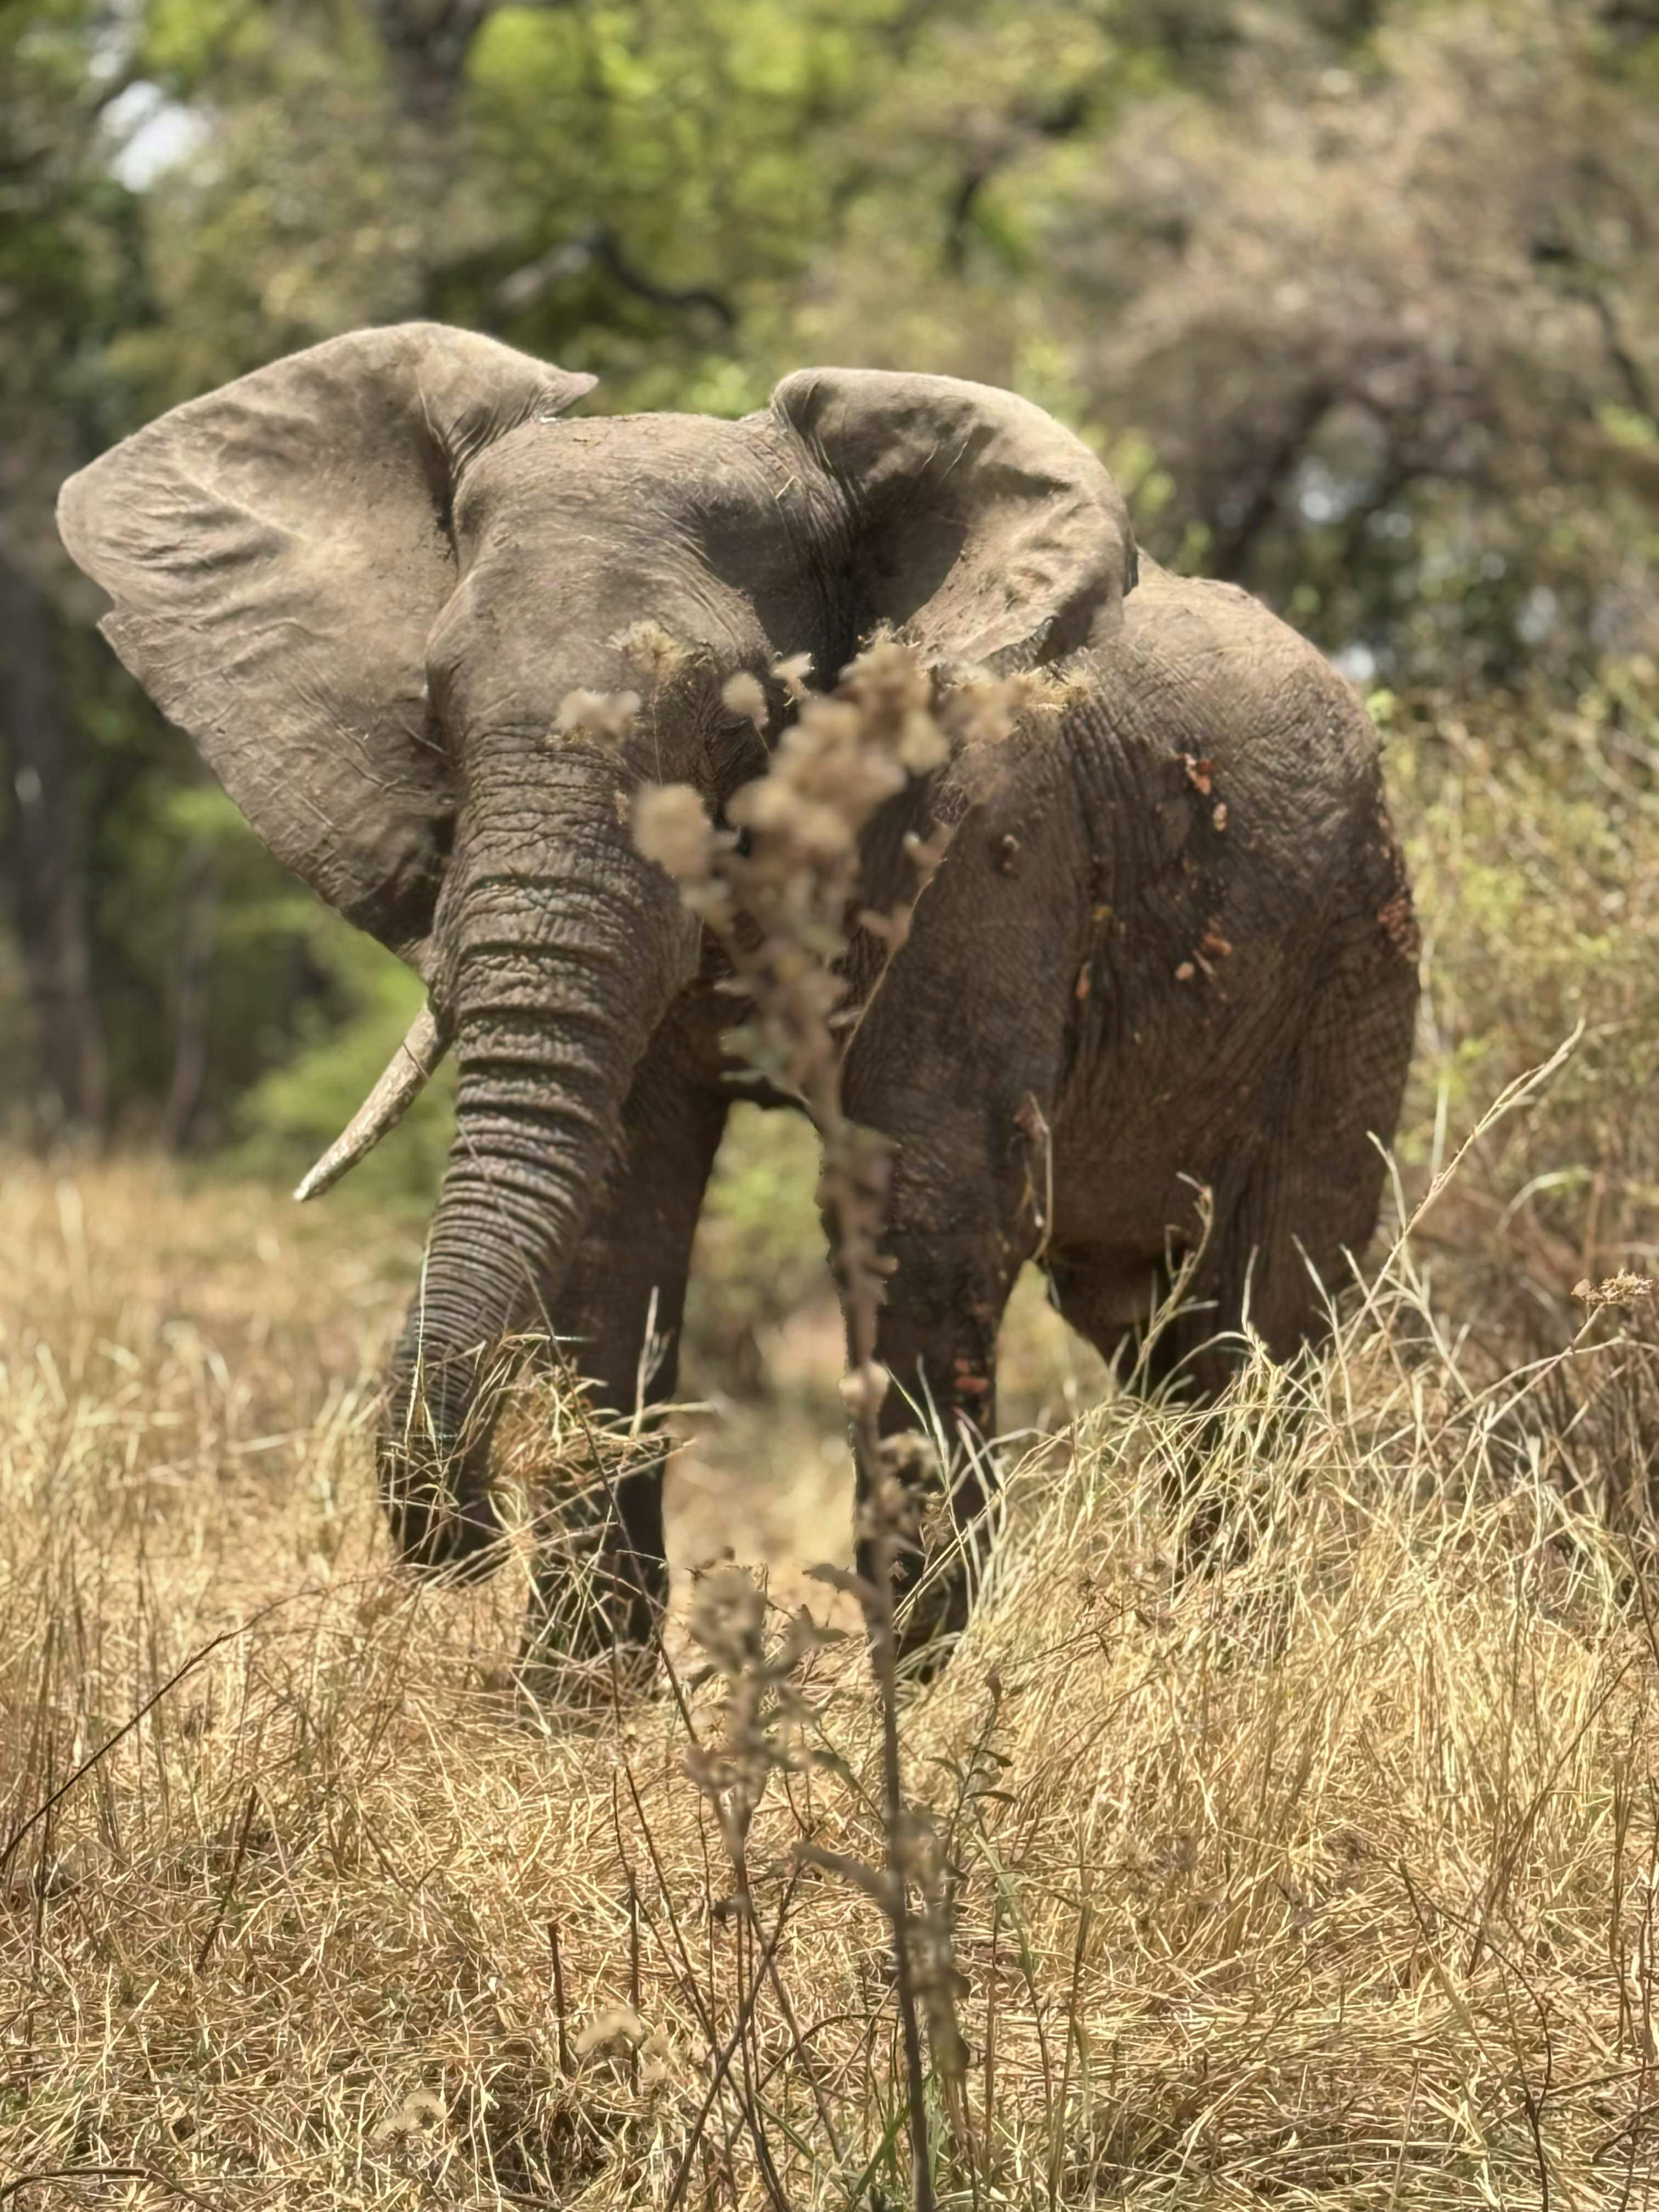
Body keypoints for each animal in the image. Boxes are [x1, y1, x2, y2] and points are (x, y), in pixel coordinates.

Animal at [61, 320, 1415, 1663]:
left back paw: (1241, 1648)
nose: (465, 1529)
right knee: (1150, 1320)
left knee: (1262, 1320)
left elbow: (925, 1198)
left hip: (1357, 950)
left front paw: (918, 1687)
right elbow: (618, 1209)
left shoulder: (988, 839)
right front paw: (571, 1692)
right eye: (436, 712)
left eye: (733, 724)